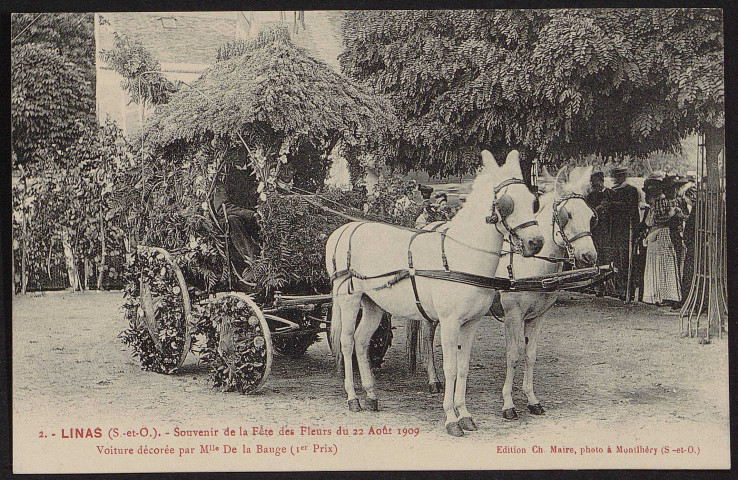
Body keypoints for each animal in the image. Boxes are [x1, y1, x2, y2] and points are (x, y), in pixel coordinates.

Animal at [324, 152, 544, 436]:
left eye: (533, 201)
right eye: (507, 204)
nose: (536, 243)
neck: (460, 256)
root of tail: (342, 231)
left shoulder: (471, 323)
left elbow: (463, 367)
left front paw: (465, 415)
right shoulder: (449, 323)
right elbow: (449, 369)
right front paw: (451, 419)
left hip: (373, 304)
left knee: (362, 342)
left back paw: (371, 396)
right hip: (349, 301)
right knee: (348, 342)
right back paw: (353, 398)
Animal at [414, 168, 600, 420]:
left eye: (591, 216)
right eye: (567, 215)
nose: (589, 256)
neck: (529, 264)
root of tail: (430, 226)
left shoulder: (538, 317)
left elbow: (530, 355)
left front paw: (532, 399)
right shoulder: (513, 315)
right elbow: (513, 356)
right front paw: (508, 404)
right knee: (427, 336)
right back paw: (433, 379)